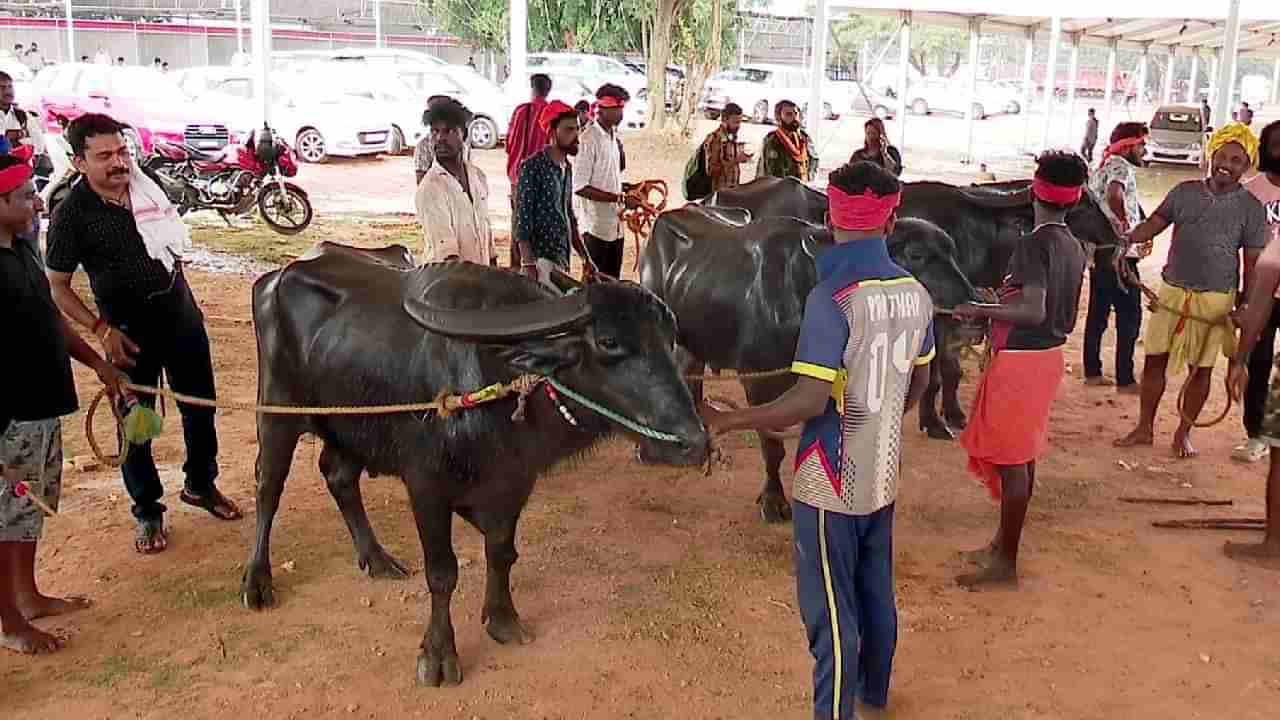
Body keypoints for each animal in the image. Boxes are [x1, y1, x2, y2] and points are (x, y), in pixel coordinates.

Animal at [247, 244, 711, 681]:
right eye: (609, 341)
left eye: (670, 338)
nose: (693, 442)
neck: (495, 384)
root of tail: (275, 278)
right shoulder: (426, 487)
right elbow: (443, 572)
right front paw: (438, 654)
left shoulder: (513, 483)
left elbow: (501, 551)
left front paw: (503, 619)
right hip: (277, 410)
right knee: (268, 486)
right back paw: (257, 581)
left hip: (348, 426)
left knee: (338, 474)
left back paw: (376, 558)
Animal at [634, 207, 972, 520]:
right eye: (917, 255)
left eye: (954, 252)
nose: (973, 302)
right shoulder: (758, 379)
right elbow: (772, 445)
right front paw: (773, 500)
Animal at [701, 176, 1121, 440]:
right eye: (1084, 203)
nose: (1117, 234)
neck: (976, 233)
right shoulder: (938, 320)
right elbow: (938, 374)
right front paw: (934, 421)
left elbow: (950, 372)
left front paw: (953, 414)